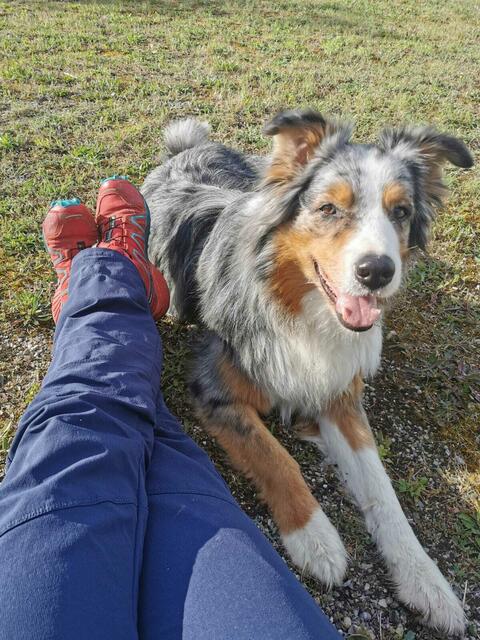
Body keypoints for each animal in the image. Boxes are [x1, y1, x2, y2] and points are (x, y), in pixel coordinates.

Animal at [142, 111, 472, 636]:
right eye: (328, 209)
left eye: (400, 212)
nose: (377, 271)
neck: (301, 307)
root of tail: (183, 151)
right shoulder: (214, 390)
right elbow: (277, 458)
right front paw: (316, 539)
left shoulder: (340, 395)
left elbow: (382, 489)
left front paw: (426, 581)